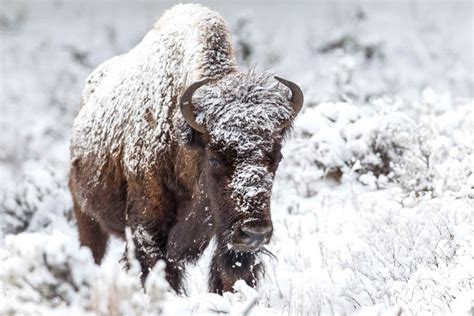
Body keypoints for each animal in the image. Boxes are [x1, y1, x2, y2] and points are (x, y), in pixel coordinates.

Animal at [68, 3, 302, 294]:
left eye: (277, 157)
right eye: (214, 158)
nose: (255, 233)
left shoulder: (227, 240)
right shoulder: (149, 233)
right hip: (86, 216)